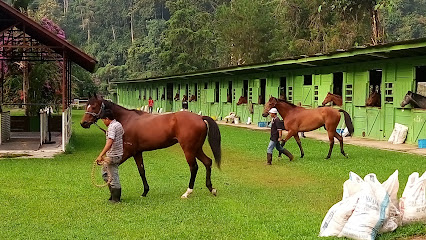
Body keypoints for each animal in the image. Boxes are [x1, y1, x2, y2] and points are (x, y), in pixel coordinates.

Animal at [80, 94, 221, 199]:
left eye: (94, 106)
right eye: (86, 105)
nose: (83, 123)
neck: (126, 120)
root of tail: (200, 117)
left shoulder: (128, 151)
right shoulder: (137, 152)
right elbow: (141, 171)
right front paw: (145, 191)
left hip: (189, 149)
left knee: (194, 167)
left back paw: (187, 192)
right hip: (196, 149)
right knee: (208, 162)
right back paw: (211, 188)